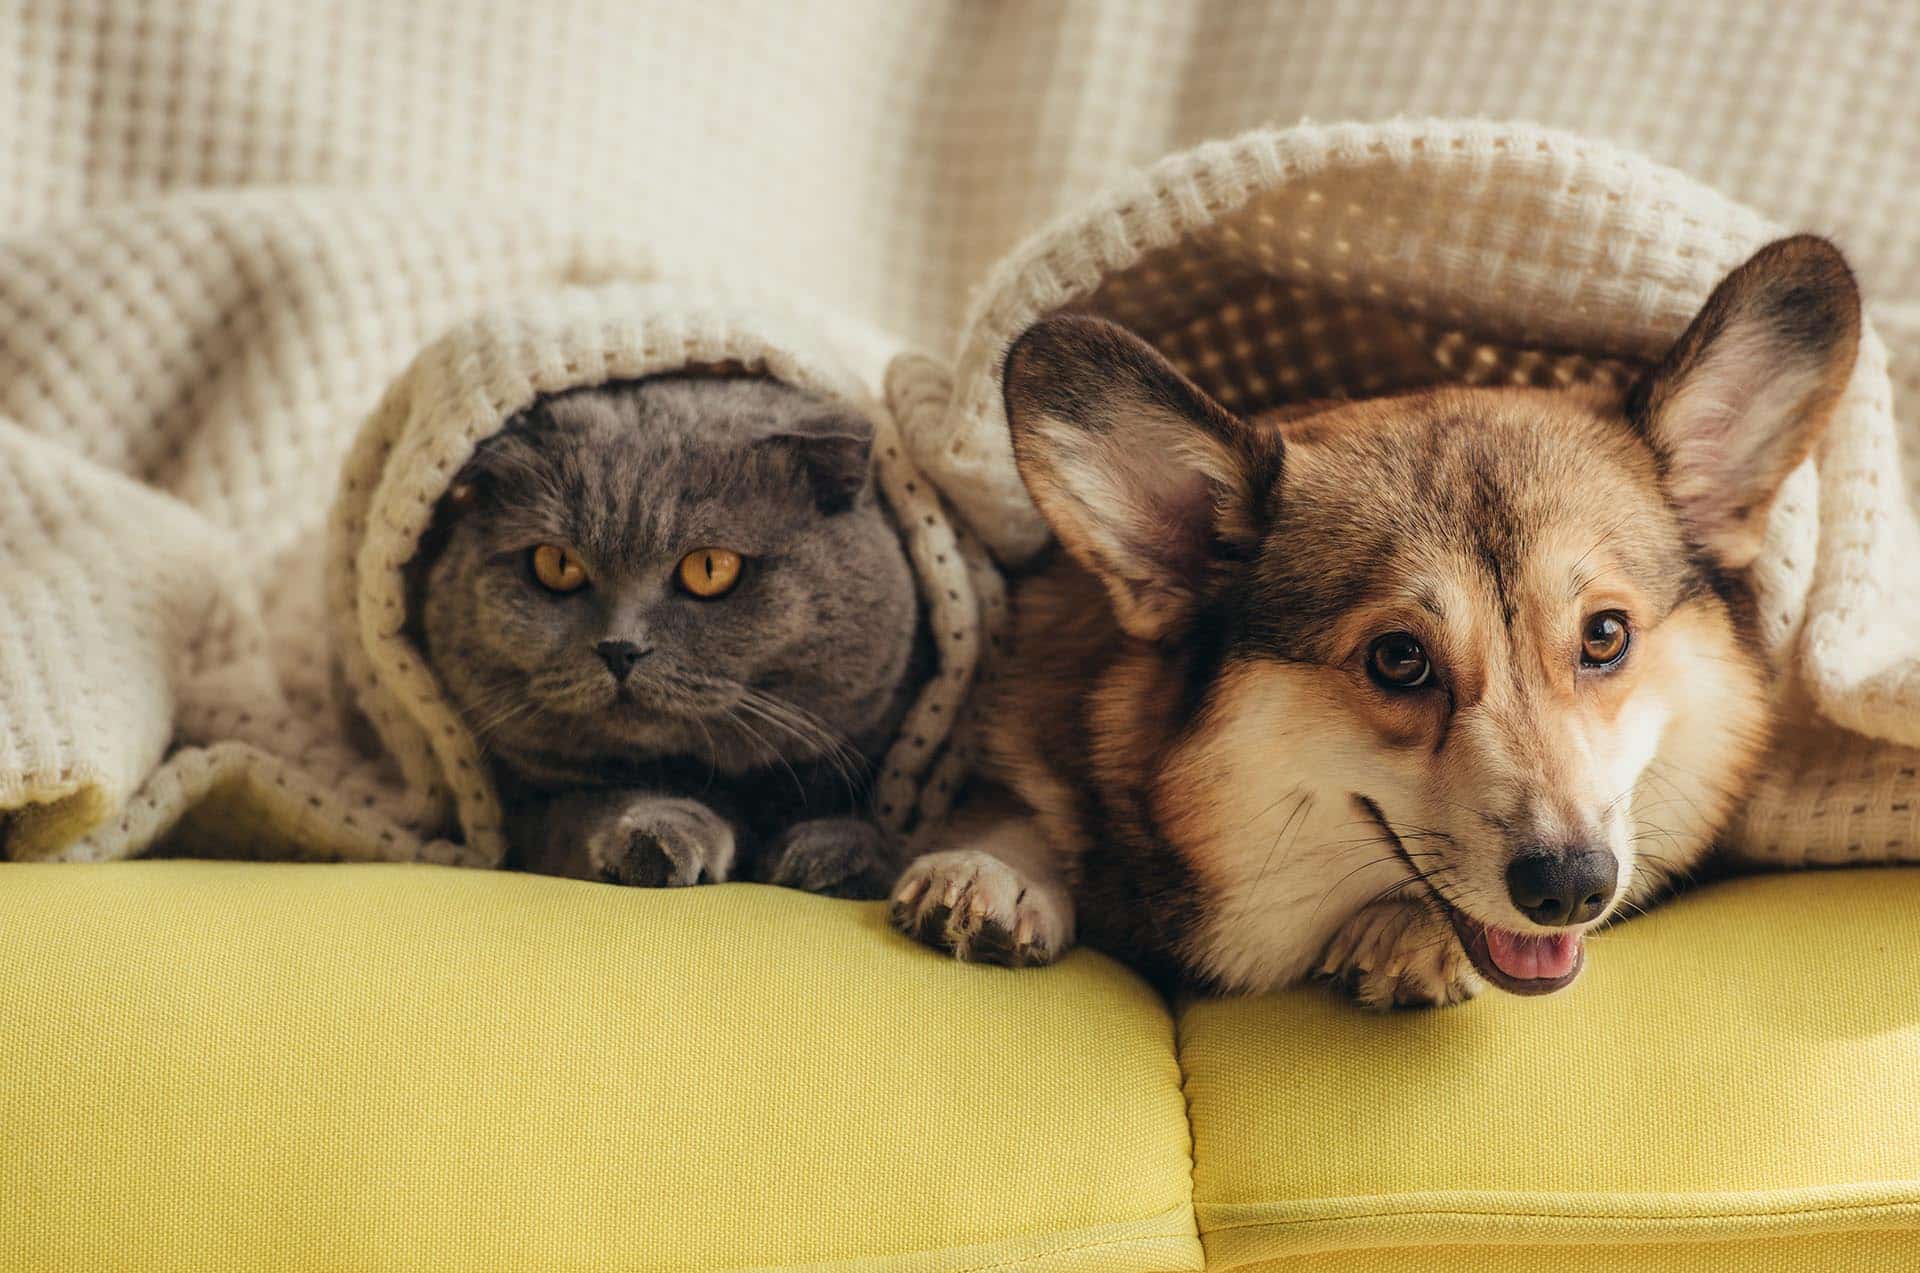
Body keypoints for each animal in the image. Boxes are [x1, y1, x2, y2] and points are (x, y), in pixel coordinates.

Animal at [422, 374, 929, 902]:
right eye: (556, 565)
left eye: (710, 568)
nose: (620, 648)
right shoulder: (526, 806)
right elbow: (584, 806)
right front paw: (660, 836)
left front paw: (836, 854)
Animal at [894, 239, 1858, 1013]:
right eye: (1398, 658)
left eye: (1605, 636)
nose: (1572, 888)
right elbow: (1016, 799)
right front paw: (992, 868)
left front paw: (1406, 932)